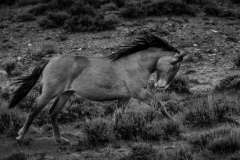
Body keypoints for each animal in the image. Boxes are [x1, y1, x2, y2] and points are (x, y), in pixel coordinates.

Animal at [8, 33, 188, 145]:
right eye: (174, 65)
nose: (162, 86)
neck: (136, 63)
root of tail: (50, 60)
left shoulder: (125, 97)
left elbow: (117, 117)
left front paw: (114, 134)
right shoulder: (140, 93)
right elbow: (160, 106)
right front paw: (175, 124)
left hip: (65, 94)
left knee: (53, 113)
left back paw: (60, 140)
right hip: (49, 92)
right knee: (34, 110)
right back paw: (20, 136)